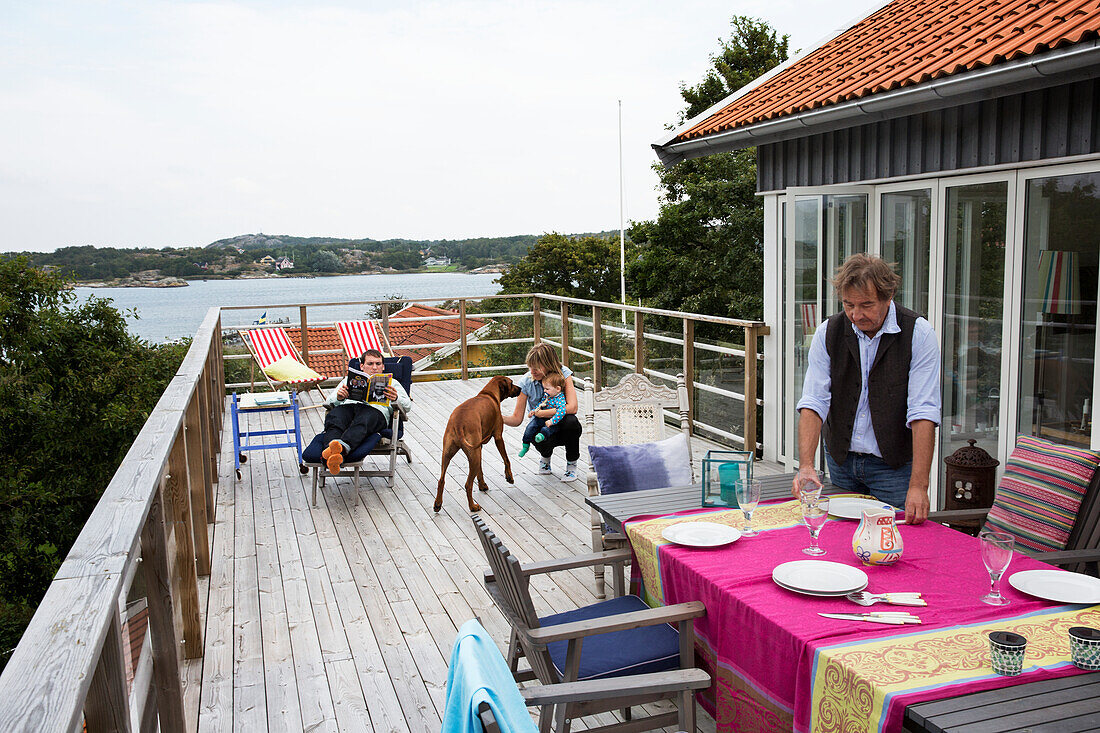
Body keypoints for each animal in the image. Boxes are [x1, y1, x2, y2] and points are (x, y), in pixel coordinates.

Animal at [435, 374, 521, 510]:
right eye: (511, 383)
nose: (520, 389)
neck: (488, 393)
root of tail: (458, 423)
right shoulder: (498, 437)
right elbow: (506, 459)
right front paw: (509, 477)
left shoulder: (480, 447)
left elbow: (480, 470)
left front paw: (482, 485)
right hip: (473, 454)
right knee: (468, 484)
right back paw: (473, 507)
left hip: (449, 453)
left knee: (441, 480)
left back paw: (437, 504)